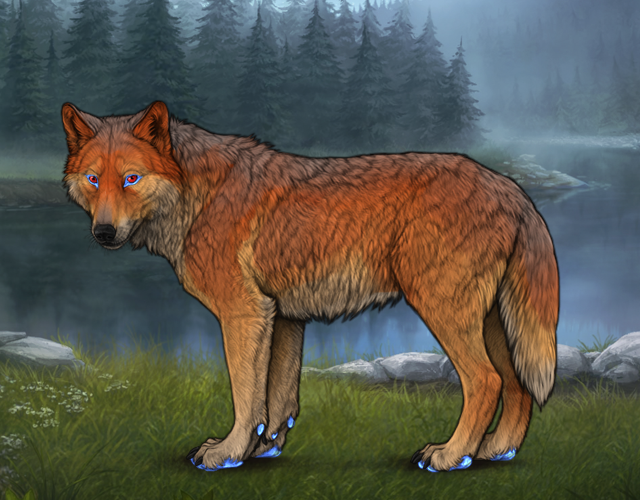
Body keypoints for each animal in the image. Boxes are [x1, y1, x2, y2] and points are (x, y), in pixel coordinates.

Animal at [61, 101, 558, 472]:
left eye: (131, 178)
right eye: (93, 179)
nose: (103, 233)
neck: (197, 197)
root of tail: (510, 187)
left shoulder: (245, 313)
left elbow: (245, 395)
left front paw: (227, 453)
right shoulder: (282, 318)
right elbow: (276, 400)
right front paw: (262, 450)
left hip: (445, 312)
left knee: (486, 382)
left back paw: (452, 456)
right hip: (493, 324)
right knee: (517, 385)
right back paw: (496, 451)